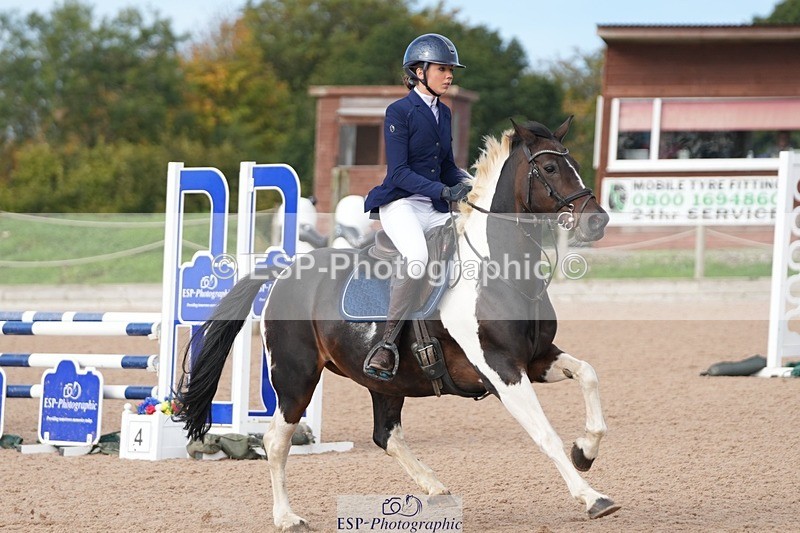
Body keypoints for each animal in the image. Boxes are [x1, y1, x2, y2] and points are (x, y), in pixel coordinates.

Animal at [174, 116, 618, 530]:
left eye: (576, 166)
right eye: (549, 168)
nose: (597, 221)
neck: (499, 271)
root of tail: (283, 271)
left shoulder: (538, 358)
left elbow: (589, 374)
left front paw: (585, 451)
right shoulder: (501, 370)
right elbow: (545, 434)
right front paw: (592, 497)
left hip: (385, 380)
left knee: (385, 434)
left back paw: (436, 488)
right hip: (296, 377)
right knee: (276, 441)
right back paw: (287, 517)